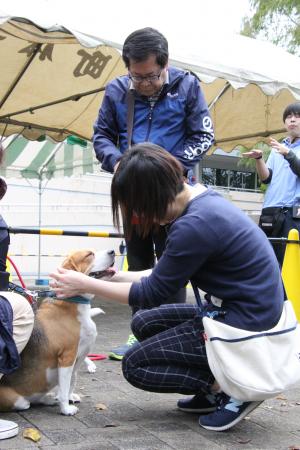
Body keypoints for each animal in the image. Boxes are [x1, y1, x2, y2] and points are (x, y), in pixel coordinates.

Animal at [0, 250, 115, 414]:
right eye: (89, 255)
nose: (112, 251)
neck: (73, 305)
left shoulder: (77, 358)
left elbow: (71, 382)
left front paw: (70, 397)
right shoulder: (67, 357)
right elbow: (65, 387)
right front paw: (66, 409)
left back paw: (49, 399)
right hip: (18, 401)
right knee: (27, 403)